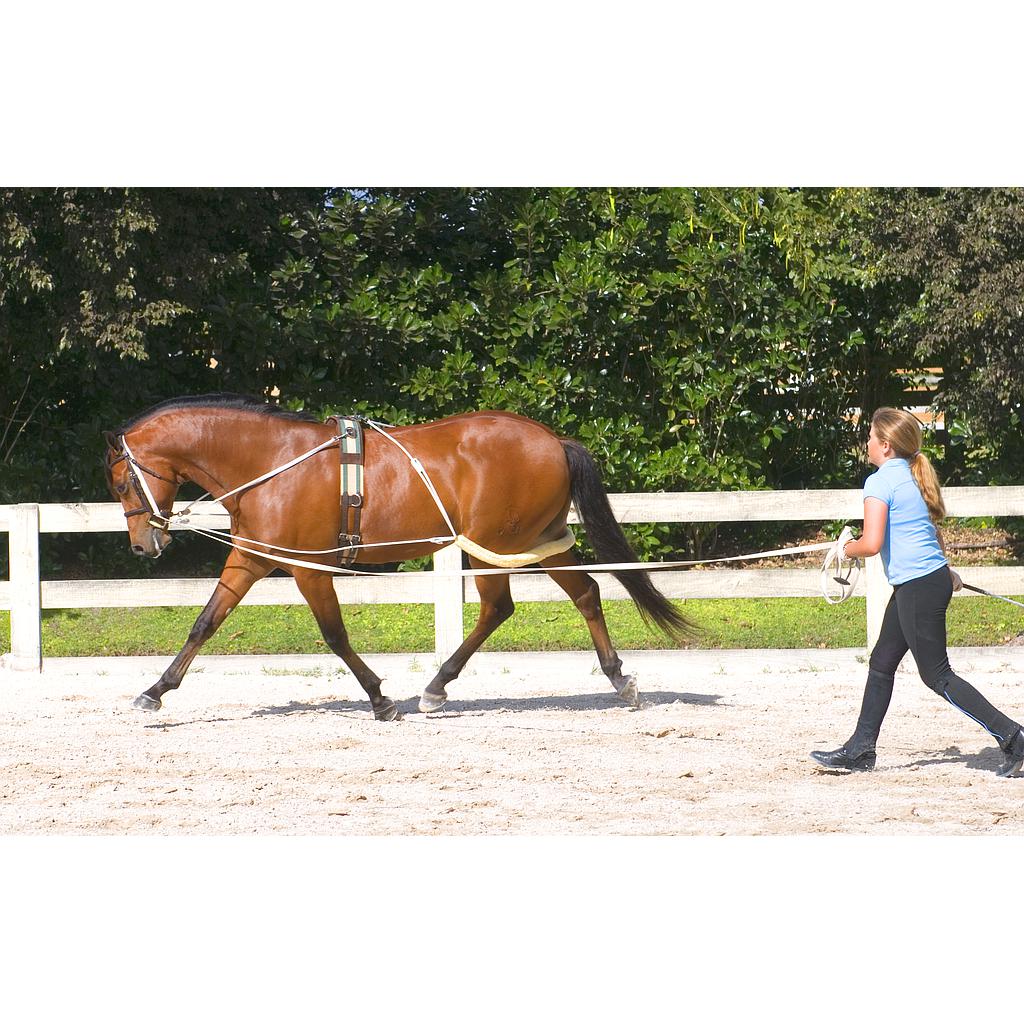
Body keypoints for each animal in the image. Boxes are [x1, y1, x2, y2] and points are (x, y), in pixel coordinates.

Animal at [103, 394, 693, 720]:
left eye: (121, 482)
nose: (143, 545)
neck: (271, 461)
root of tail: (552, 439)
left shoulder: (306, 568)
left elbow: (335, 636)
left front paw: (380, 700)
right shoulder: (249, 559)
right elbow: (204, 623)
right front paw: (154, 692)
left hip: (496, 547)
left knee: (498, 609)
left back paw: (435, 688)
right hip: (536, 543)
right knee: (585, 593)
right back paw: (619, 680)